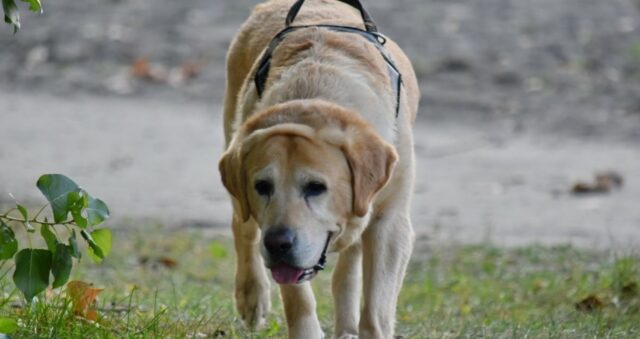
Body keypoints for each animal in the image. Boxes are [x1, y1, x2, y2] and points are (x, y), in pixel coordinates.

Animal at [220, 0, 420, 338]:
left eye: (316, 187)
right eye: (263, 186)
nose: (278, 244)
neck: (317, 90)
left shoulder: (389, 222)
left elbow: (376, 307)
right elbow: (298, 298)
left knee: (349, 264)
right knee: (242, 226)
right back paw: (252, 296)